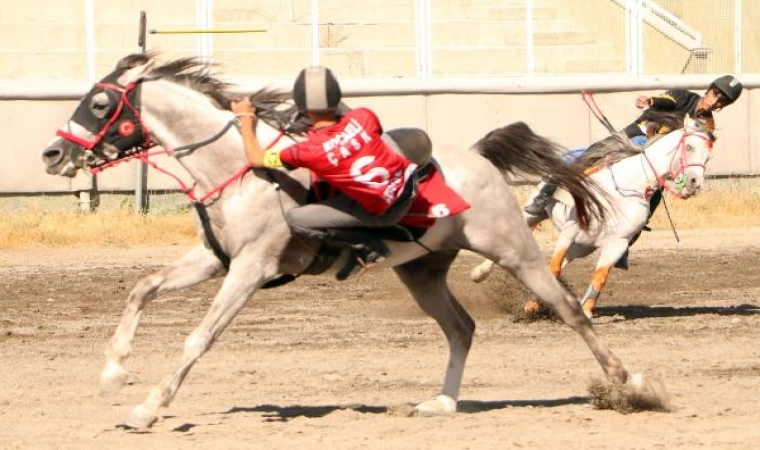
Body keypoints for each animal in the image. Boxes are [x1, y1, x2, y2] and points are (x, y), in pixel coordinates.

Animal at [41, 54, 664, 430]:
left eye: (100, 104)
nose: (53, 153)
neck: (243, 171)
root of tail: (478, 157)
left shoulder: (250, 268)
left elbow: (199, 337)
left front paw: (148, 406)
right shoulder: (214, 259)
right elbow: (142, 288)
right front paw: (113, 370)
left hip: (511, 249)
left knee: (568, 307)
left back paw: (631, 384)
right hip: (422, 271)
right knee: (462, 327)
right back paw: (442, 401)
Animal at [470, 125, 712, 318]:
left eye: (708, 155)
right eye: (689, 147)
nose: (695, 183)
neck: (623, 189)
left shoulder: (617, 244)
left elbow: (599, 277)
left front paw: (585, 311)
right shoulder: (570, 231)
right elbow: (554, 269)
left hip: (582, 248)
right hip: (535, 215)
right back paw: (479, 274)